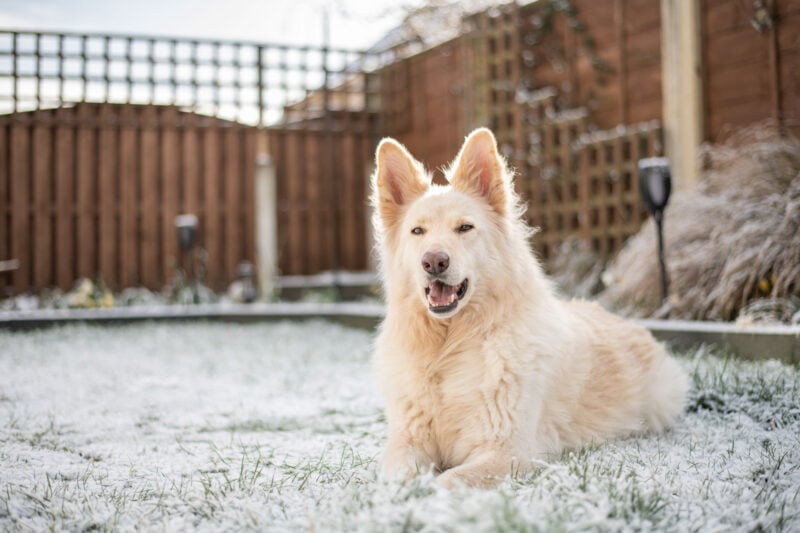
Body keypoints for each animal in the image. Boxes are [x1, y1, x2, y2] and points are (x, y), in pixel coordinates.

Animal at [368, 129, 688, 486]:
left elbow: (447, 480)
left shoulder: (508, 453)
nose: (434, 261)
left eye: (464, 228)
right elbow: (396, 476)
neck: (450, 346)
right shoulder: (406, 441)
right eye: (417, 231)